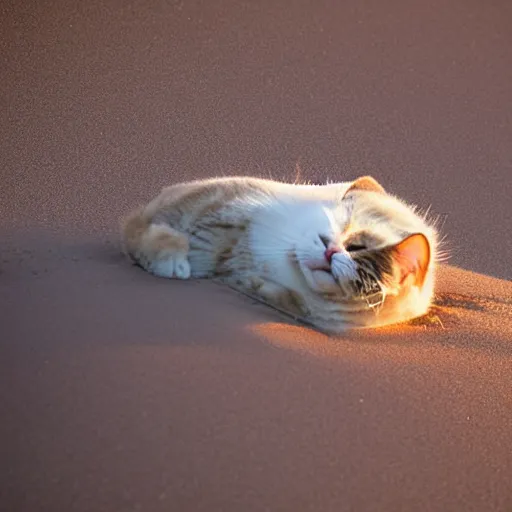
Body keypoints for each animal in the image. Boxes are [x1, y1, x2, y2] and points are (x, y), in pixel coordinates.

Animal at [121, 175, 436, 332]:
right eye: (325, 234)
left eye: (357, 248)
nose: (329, 250)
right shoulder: (226, 203)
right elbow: (140, 228)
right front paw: (169, 257)